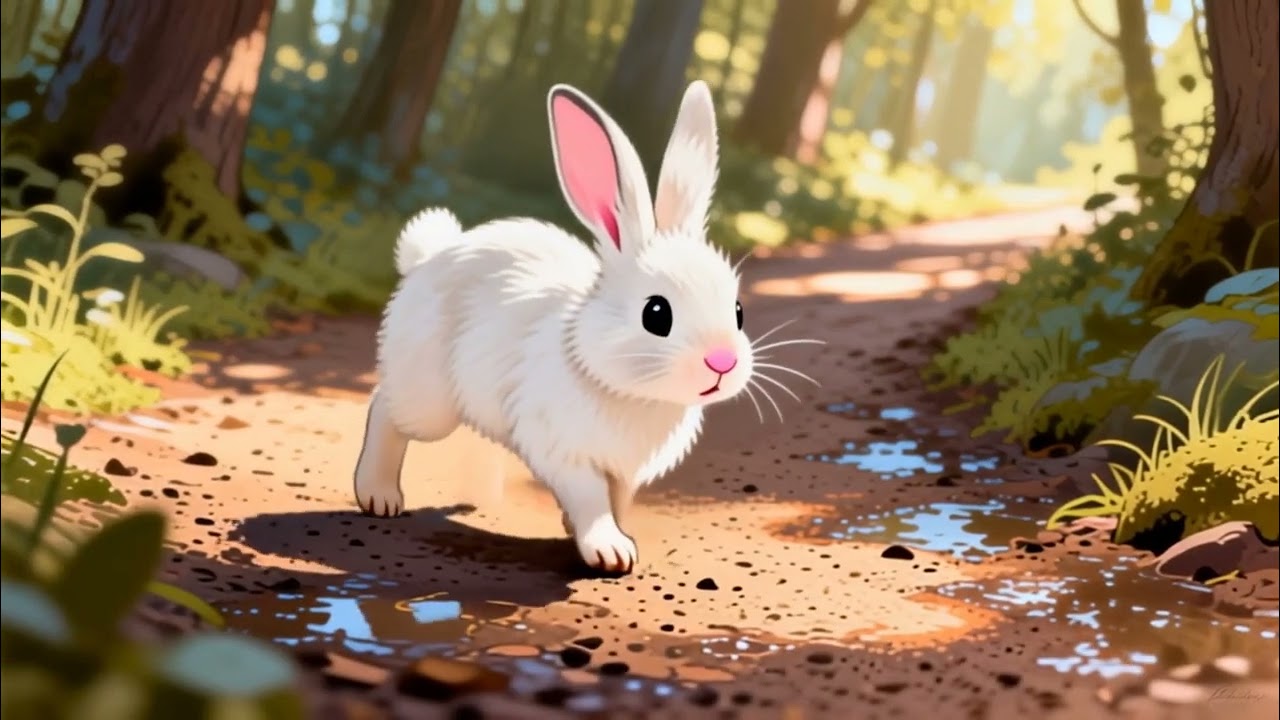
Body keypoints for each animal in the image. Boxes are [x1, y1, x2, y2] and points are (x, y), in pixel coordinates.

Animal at [354, 80, 757, 575]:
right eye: (656, 314)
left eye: (737, 311)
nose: (723, 361)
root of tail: (427, 257)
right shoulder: (565, 451)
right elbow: (591, 500)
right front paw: (610, 552)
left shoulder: (622, 471)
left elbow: (615, 500)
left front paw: (596, 536)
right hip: (428, 400)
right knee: (383, 408)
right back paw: (379, 497)